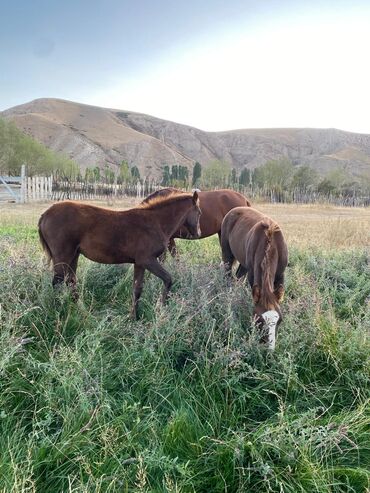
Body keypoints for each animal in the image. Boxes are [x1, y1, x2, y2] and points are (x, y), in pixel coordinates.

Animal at [38, 190, 201, 318]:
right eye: (199, 213)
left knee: (70, 281)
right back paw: (58, 313)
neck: (155, 222)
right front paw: (160, 309)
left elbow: (137, 289)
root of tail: (45, 214)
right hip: (63, 256)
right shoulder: (148, 260)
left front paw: (133, 317)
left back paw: (82, 312)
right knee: (58, 282)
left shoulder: (140, 263)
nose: (197, 233)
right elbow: (168, 279)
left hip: (74, 255)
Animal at [221, 206, 288, 348]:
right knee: (228, 275)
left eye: (280, 320)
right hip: (227, 254)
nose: (269, 348)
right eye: (258, 320)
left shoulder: (280, 275)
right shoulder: (252, 275)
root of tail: (233, 210)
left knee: (238, 276)